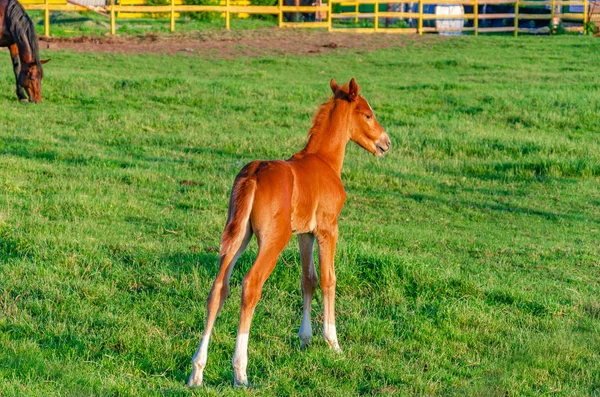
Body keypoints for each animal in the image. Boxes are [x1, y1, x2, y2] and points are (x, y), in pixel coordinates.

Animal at [190, 77, 392, 386]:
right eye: (368, 114)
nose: (386, 143)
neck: (324, 161)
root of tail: (254, 173)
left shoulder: (304, 233)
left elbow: (308, 280)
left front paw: (304, 339)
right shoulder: (327, 229)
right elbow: (328, 279)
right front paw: (333, 343)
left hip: (239, 236)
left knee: (218, 288)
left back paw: (197, 371)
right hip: (273, 240)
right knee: (251, 285)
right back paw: (240, 371)